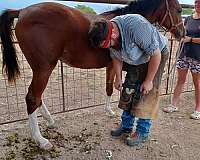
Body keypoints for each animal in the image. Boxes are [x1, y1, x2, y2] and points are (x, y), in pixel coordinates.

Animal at [0, 0, 184, 150]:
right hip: (44, 68)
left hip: (40, 69)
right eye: (180, 9)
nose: (182, 33)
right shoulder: (116, 66)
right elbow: (113, 89)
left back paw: (50, 121)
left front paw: (109, 111)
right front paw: (111, 111)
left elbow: (110, 88)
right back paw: (41, 140)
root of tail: (22, 11)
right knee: (32, 97)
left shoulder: (112, 67)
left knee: (38, 97)